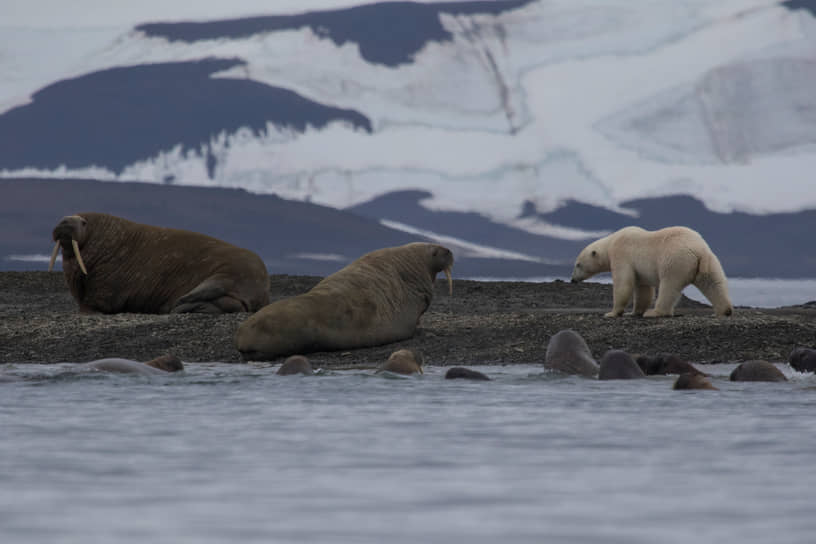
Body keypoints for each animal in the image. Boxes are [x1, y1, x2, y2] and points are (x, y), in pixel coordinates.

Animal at [570, 226, 733, 318]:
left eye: (578, 264)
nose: (572, 280)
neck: (611, 243)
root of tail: (698, 249)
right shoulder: (639, 271)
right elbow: (643, 290)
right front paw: (634, 312)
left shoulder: (622, 255)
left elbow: (623, 284)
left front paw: (612, 313)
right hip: (710, 260)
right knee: (713, 282)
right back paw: (724, 311)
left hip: (674, 260)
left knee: (669, 287)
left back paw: (655, 312)